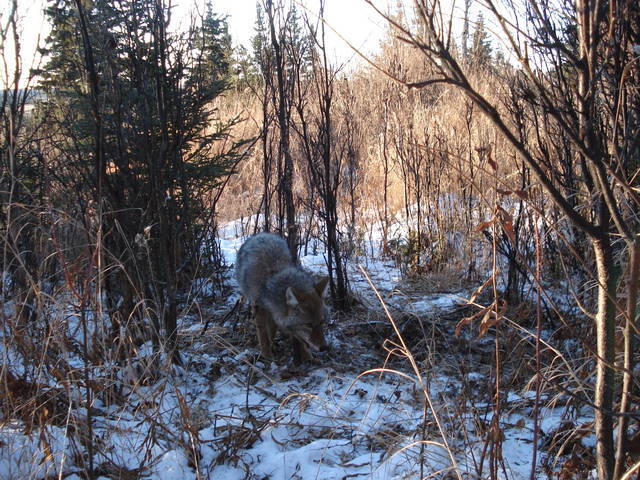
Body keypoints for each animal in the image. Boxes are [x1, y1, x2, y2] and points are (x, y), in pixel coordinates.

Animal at [235, 232, 330, 363]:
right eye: (309, 325)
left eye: (322, 322)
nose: (324, 347)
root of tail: (261, 235)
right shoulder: (259, 309)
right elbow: (263, 335)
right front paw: (266, 355)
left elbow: (298, 337)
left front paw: (306, 355)